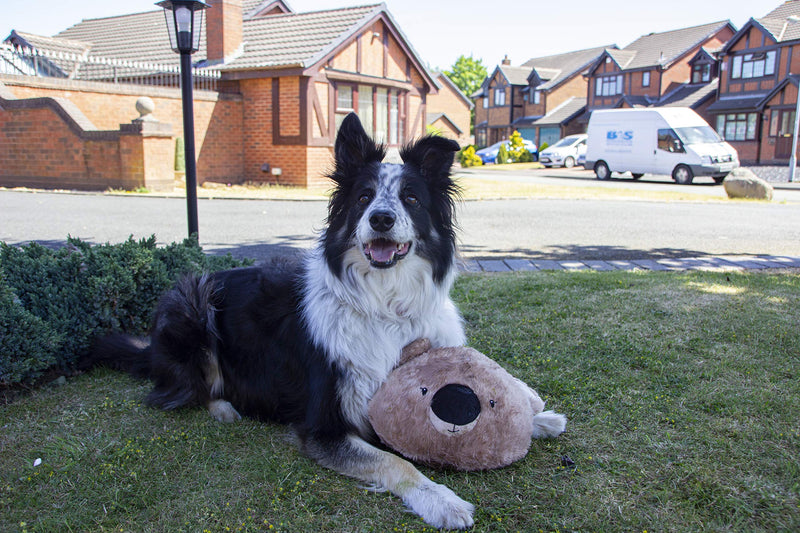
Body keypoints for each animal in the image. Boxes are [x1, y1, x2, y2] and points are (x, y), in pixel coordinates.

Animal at [92, 113, 482, 528]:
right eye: (363, 198)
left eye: (411, 198)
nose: (381, 218)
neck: (386, 306)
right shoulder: (323, 428)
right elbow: (395, 462)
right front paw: (442, 500)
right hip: (191, 301)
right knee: (192, 386)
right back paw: (223, 406)